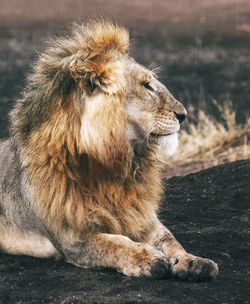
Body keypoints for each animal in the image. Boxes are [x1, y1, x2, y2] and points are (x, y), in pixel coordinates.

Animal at [0, 20, 219, 280]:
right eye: (146, 86)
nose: (183, 115)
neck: (117, 163)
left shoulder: (142, 217)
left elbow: (170, 239)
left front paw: (193, 261)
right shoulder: (73, 239)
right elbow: (113, 243)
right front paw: (146, 258)